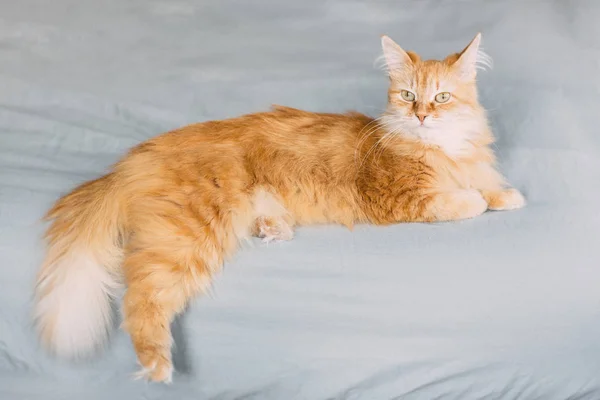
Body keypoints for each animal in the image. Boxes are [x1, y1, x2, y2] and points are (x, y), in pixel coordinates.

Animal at [35, 32, 524, 382]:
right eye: (407, 96)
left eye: (441, 98)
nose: (422, 115)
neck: (440, 148)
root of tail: (131, 163)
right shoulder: (398, 197)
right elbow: (463, 200)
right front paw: (479, 199)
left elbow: (489, 184)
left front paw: (507, 195)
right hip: (185, 235)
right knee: (140, 299)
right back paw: (157, 366)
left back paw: (272, 228)